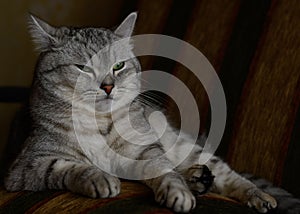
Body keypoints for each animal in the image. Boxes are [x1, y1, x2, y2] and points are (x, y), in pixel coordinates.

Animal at [3, 12, 278, 213]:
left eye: (118, 65)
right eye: (83, 68)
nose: (108, 86)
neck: (100, 123)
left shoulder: (144, 150)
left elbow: (164, 170)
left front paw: (178, 193)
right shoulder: (28, 165)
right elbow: (67, 167)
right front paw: (98, 178)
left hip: (182, 144)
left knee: (224, 174)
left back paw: (257, 195)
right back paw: (197, 178)